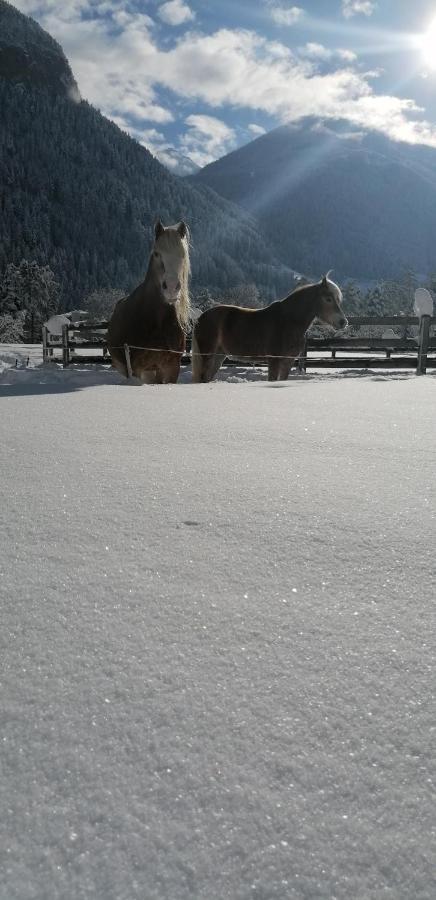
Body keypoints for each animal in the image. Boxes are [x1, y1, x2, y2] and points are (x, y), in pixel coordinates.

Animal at [192, 278, 350, 384]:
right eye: (328, 299)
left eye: (338, 299)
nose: (343, 322)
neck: (288, 321)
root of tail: (202, 317)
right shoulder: (274, 360)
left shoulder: (288, 361)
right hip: (208, 355)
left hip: (219, 355)